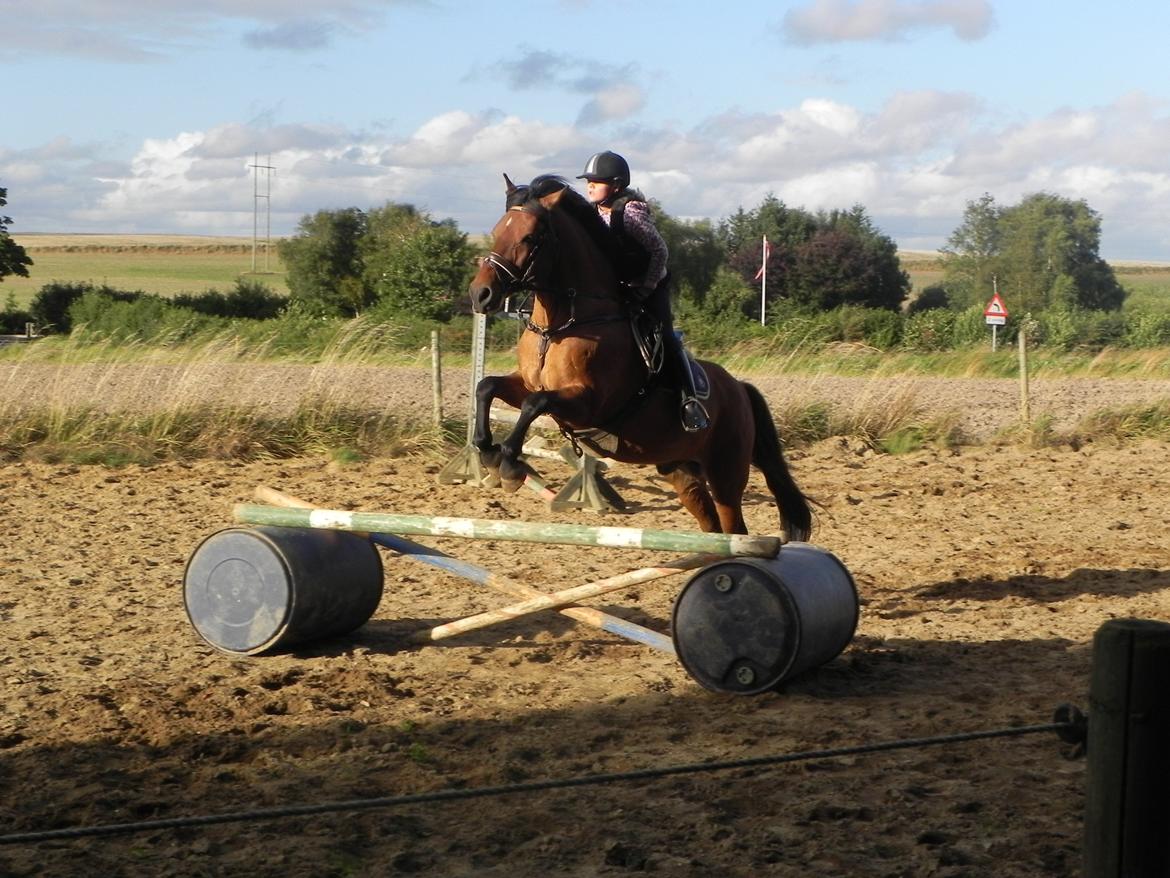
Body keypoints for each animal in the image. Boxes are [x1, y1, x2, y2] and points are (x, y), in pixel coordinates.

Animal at [460, 173, 809, 543]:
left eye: (529, 237)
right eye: (497, 231)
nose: (480, 294)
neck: (557, 326)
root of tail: (740, 388)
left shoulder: (588, 404)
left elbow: (534, 404)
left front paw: (509, 464)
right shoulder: (529, 384)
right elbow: (487, 386)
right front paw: (486, 449)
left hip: (726, 473)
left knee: (734, 527)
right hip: (681, 469)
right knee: (711, 526)